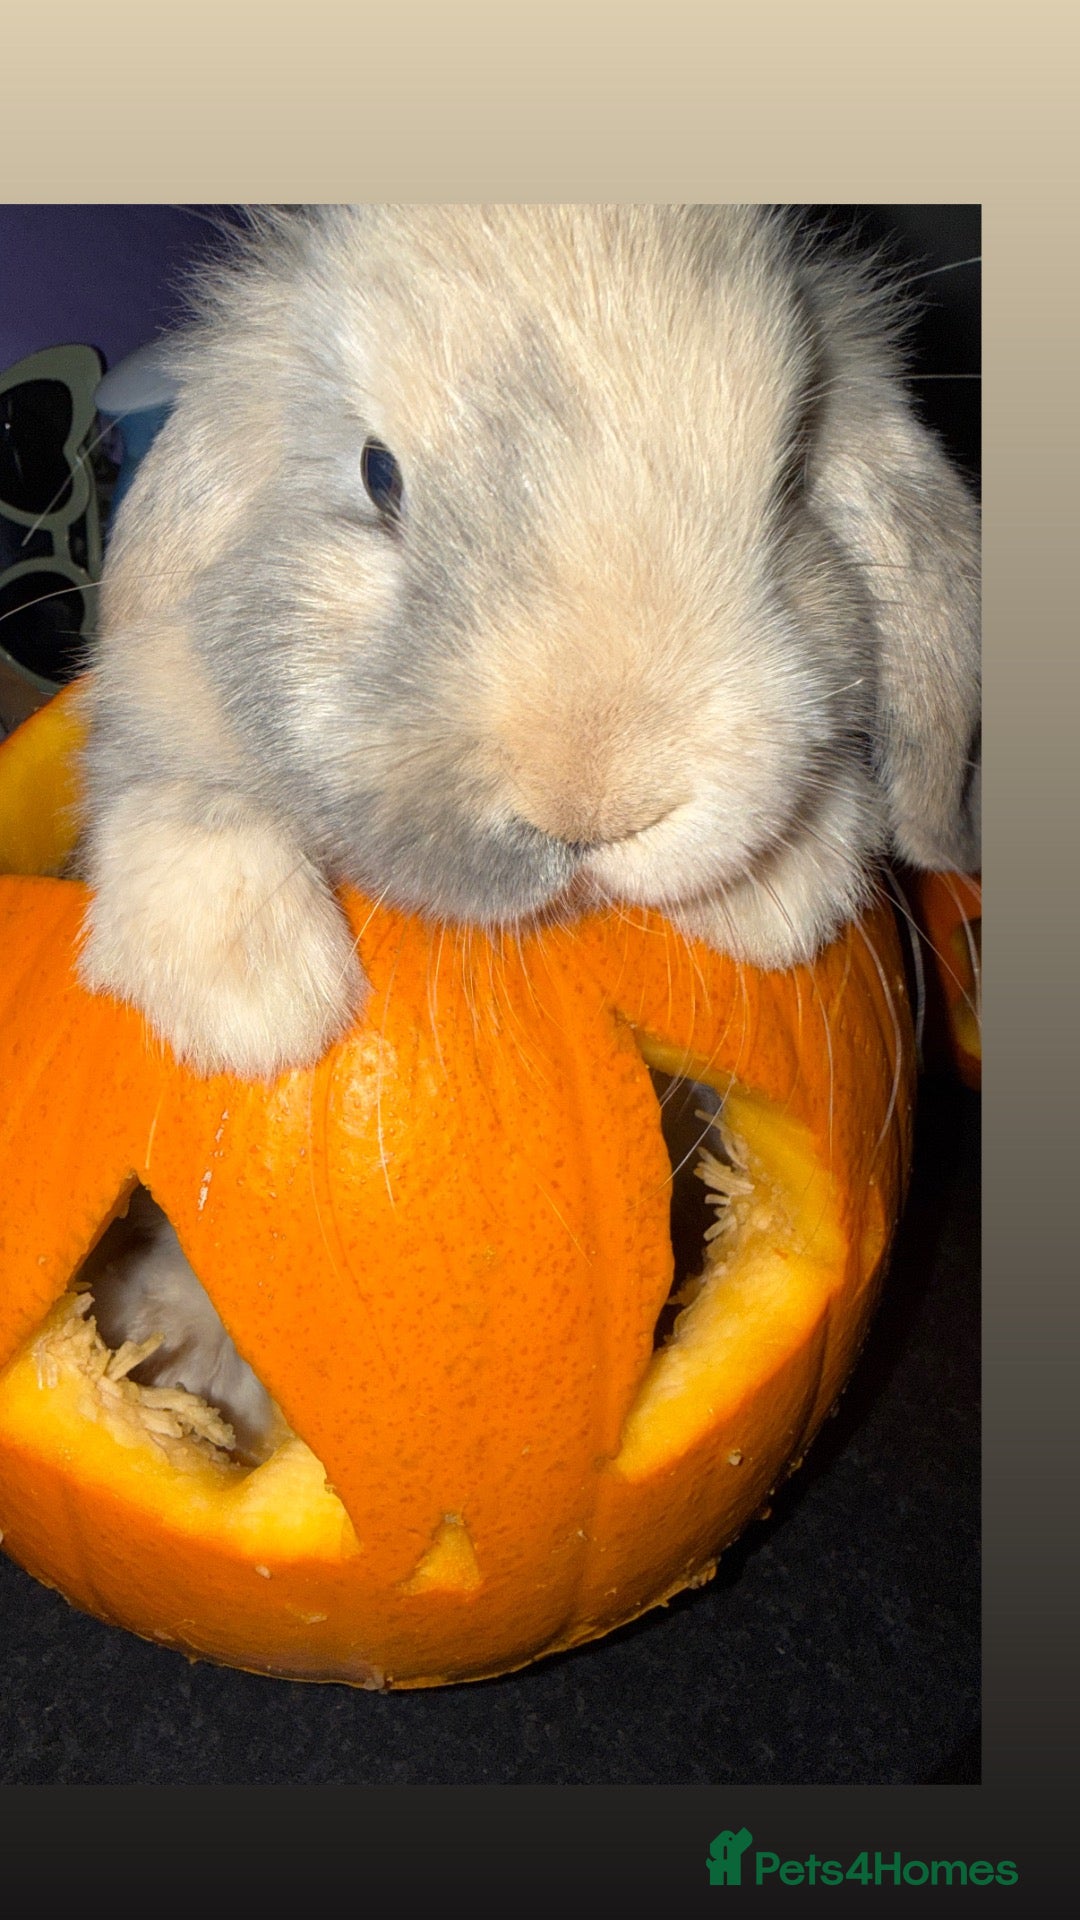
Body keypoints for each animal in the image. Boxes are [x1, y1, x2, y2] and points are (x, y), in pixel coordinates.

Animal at [75, 205, 979, 1441]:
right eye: (378, 476)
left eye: (791, 480)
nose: (594, 800)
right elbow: (172, 796)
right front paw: (256, 999)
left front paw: (778, 900)